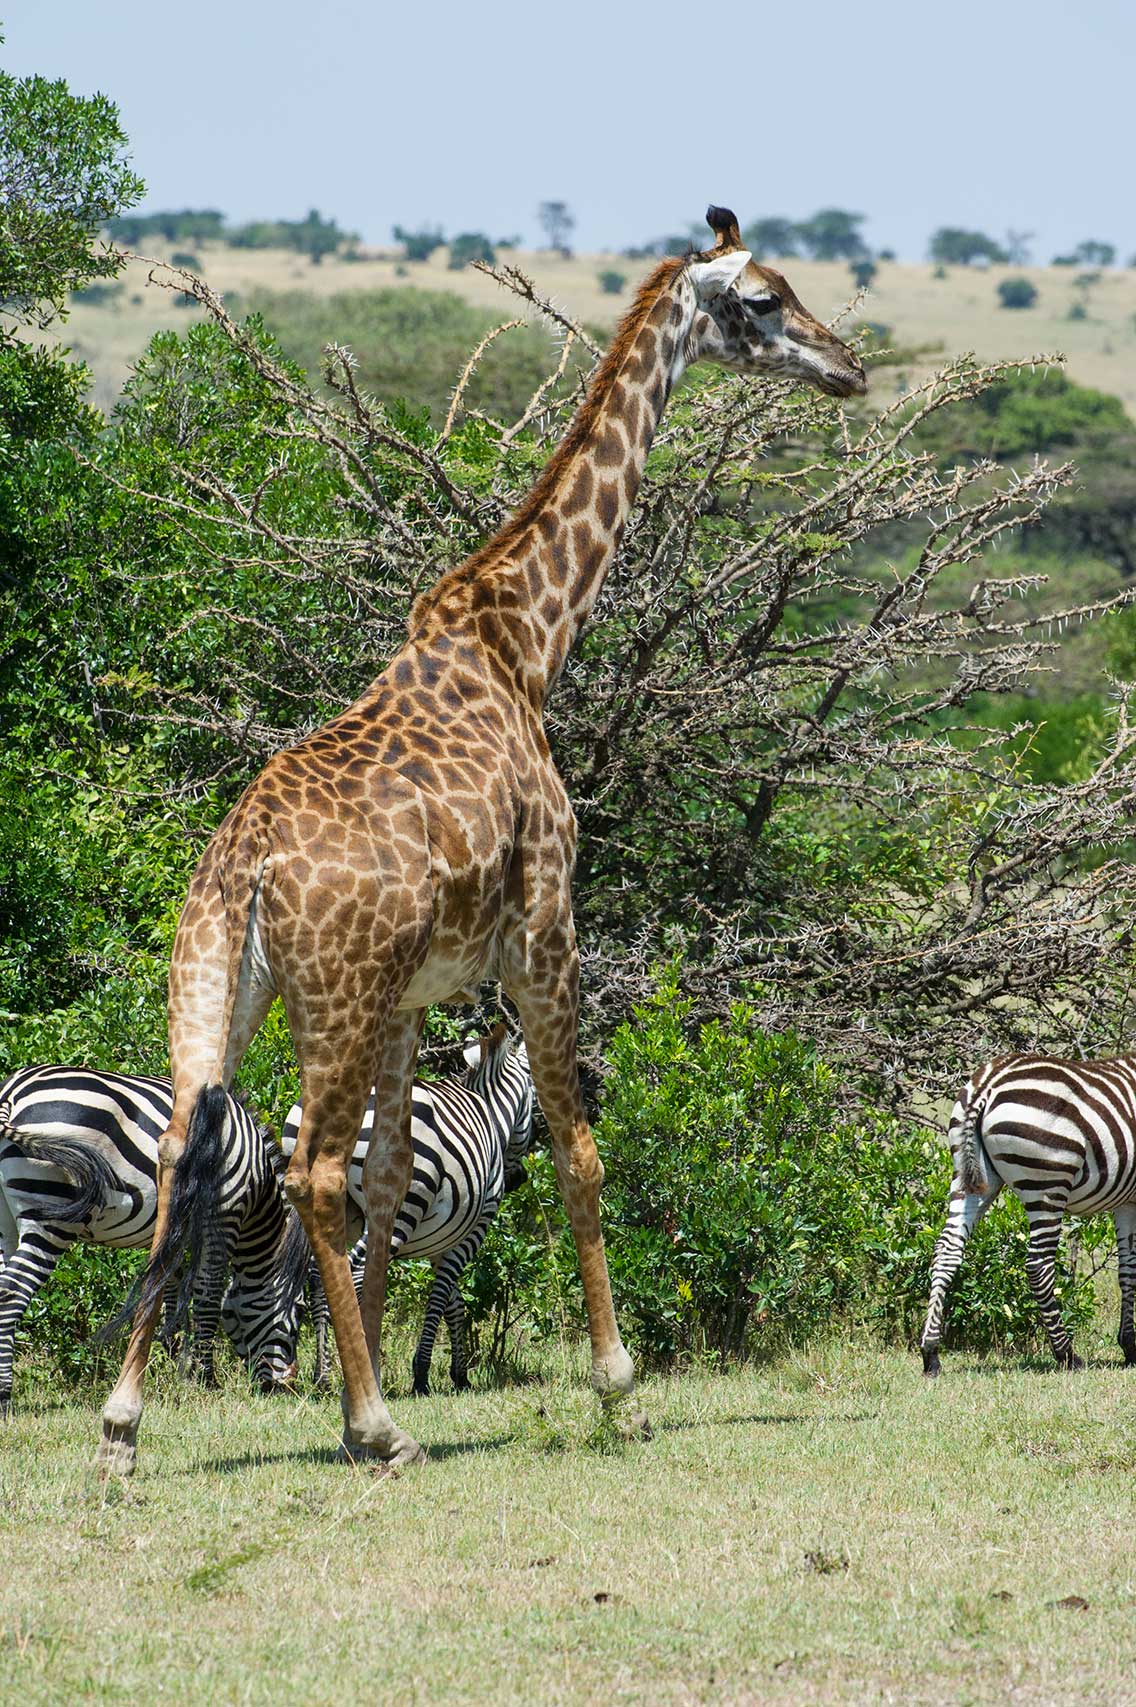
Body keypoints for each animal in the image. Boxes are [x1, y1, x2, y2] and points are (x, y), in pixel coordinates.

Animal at [0, 1065, 304, 1414]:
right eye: (299, 1314)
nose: (285, 1388)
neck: (257, 1185)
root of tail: (12, 1091)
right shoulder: (222, 1214)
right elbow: (207, 1294)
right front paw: (205, 1380)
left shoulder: (173, 1233)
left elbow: (168, 1294)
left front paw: (171, 1366)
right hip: (52, 1213)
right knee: (11, 1294)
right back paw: (4, 1397)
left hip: (7, 1220)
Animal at [227, 1027, 534, 1395]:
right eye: (534, 1102)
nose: (519, 1179)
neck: (490, 1113)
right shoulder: (474, 1228)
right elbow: (441, 1294)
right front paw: (423, 1375)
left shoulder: (443, 1238)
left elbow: (454, 1300)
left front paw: (459, 1374)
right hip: (400, 1204)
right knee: (357, 1272)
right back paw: (362, 1367)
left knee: (320, 1275)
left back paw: (323, 1376)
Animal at [920, 1054, 1136, 1376]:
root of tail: (988, 1083)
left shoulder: (1127, 1202)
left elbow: (1128, 1271)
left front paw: (1130, 1347)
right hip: (1047, 1183)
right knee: (1038, 1265)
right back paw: (1067, 1355)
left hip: (969, 1178)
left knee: (947, 1251)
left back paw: (931, 1354)